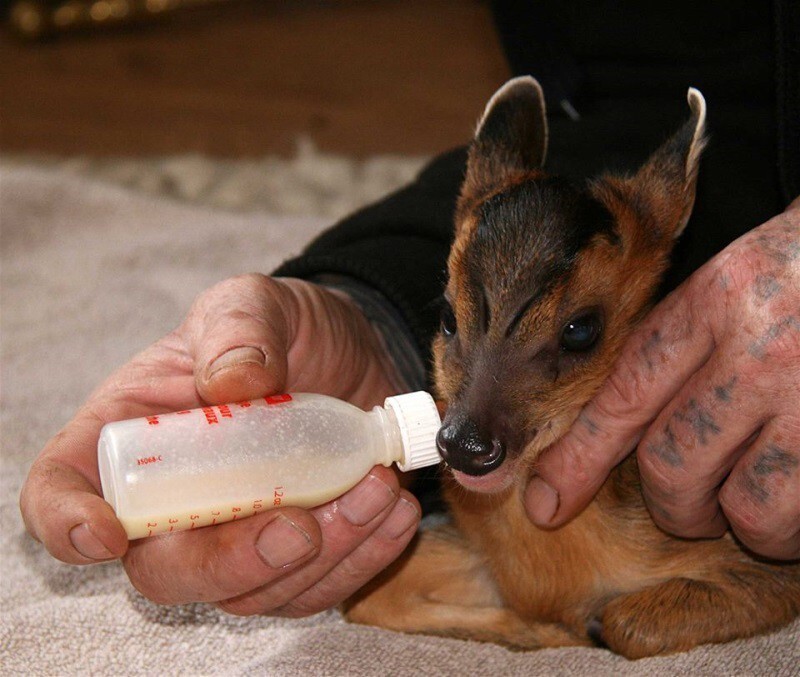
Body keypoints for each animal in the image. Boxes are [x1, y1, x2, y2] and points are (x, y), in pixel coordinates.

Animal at [346, 76, 800, 656]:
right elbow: (367, 595)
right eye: (447, 315)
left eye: (581, 329)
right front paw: (543, 629)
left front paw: (577, 628)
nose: (465, 446)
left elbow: (621, 623)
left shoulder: (765, 561)